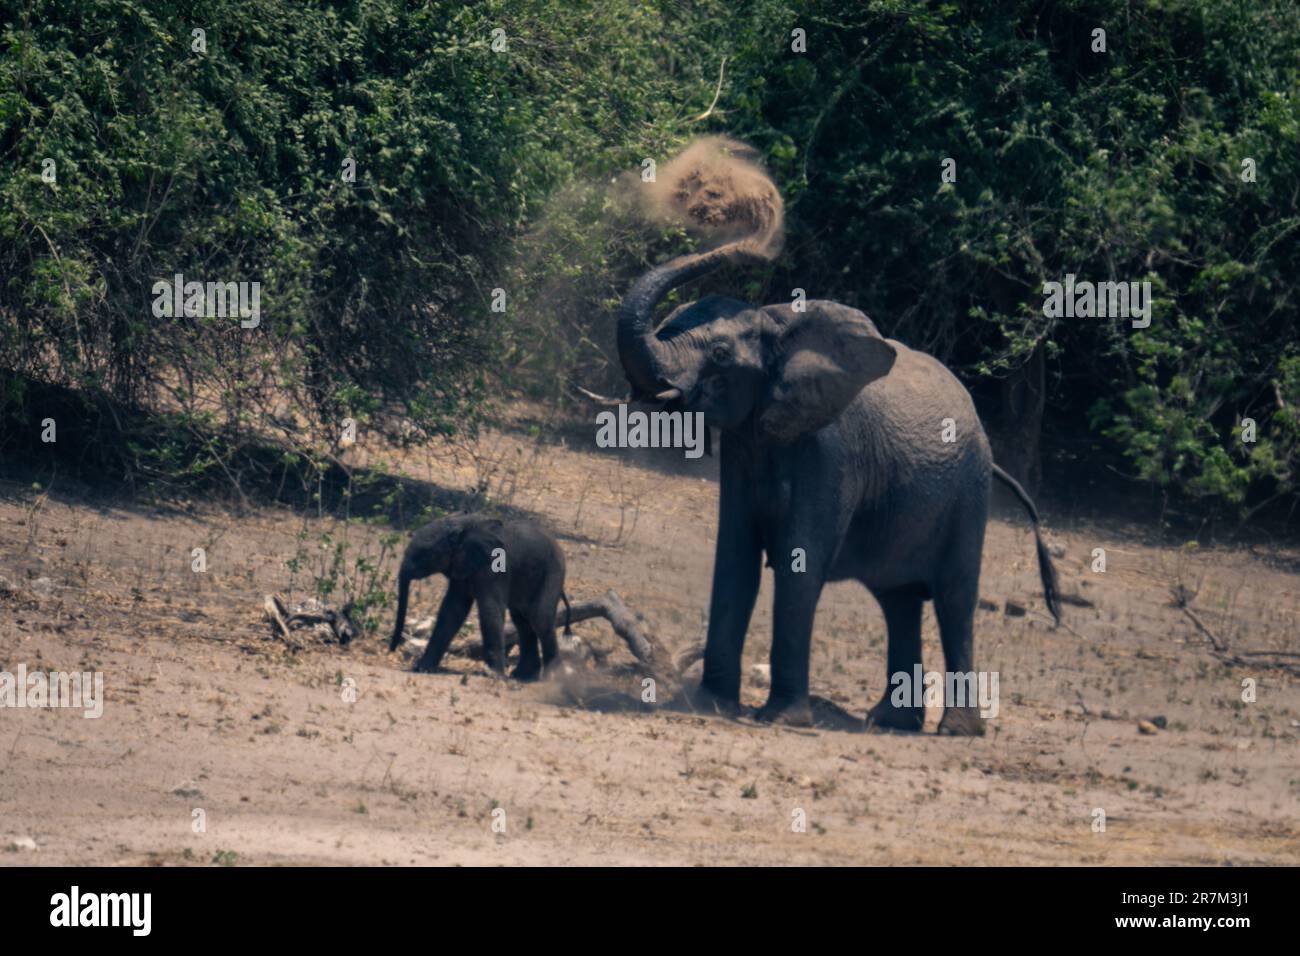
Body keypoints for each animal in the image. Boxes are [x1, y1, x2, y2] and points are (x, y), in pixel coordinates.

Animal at [389, 514, 571, 680]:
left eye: (425, 554)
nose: (392, 649)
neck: (462, 525)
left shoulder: (494, 566)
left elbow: (489, 608)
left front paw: (494, 675)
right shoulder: (461, 566)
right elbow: (452, 609)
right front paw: (422, 668)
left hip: (553, 572)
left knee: (540, 619)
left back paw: (552, 679)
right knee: (522, 620)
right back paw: (523, 676)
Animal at [614, 239, 1060, 734]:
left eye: (720, 353)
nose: (754, 242)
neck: (778, 327)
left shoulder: (832, 448)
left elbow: (800, 563)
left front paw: (782, 720)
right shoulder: (744, 443)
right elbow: (734, 558)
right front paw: (711, 705)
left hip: (970, 493)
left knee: (954, 600)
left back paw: (955, 731)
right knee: (899, 602)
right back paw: (891, 722)